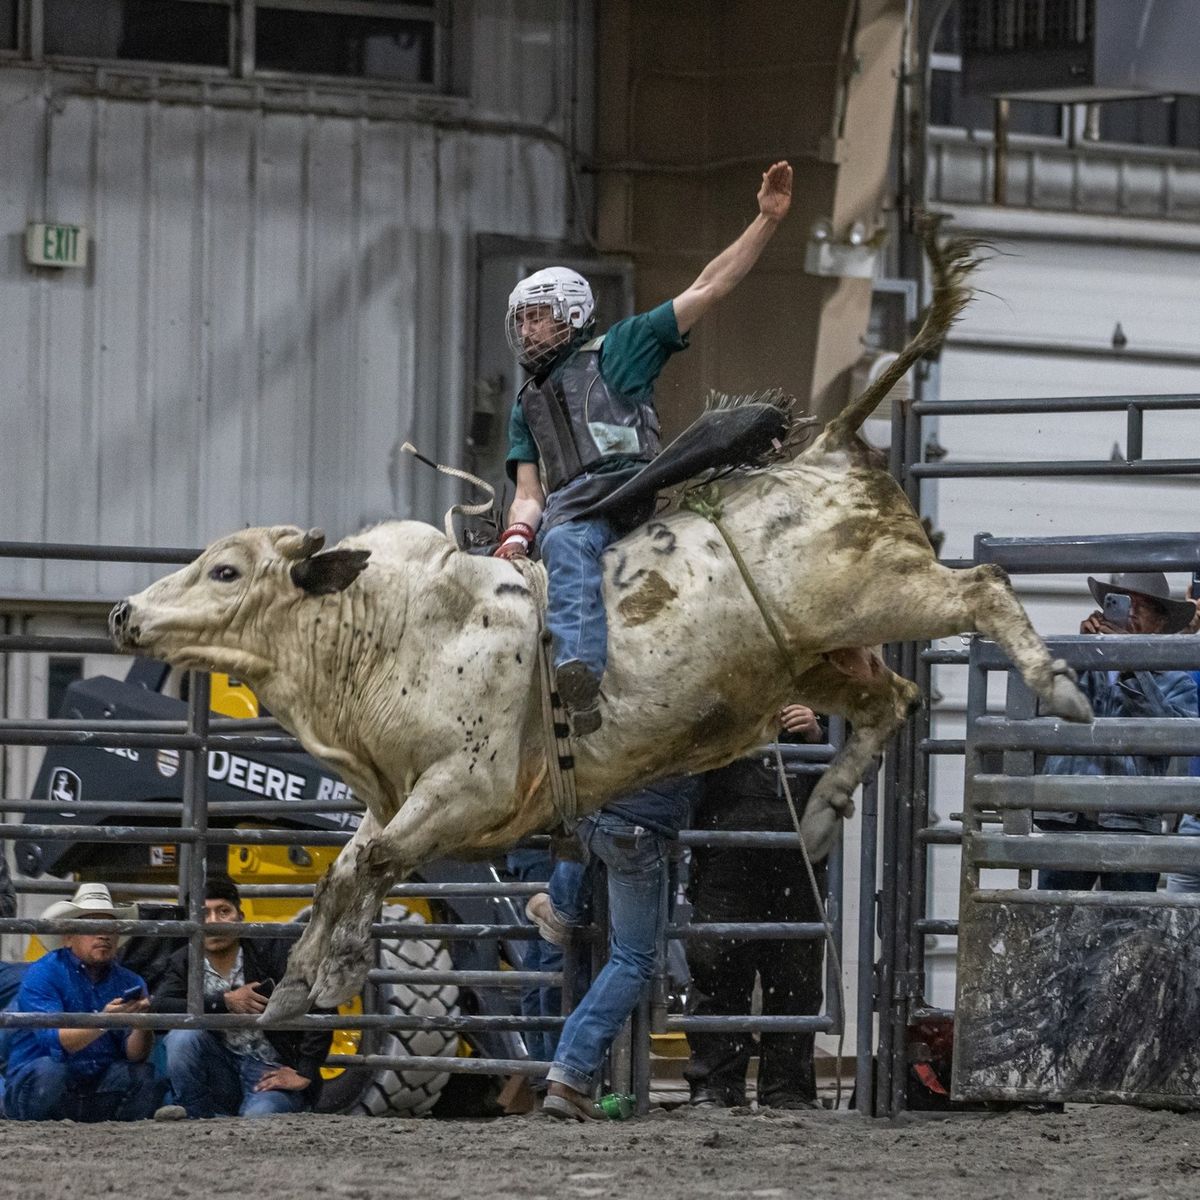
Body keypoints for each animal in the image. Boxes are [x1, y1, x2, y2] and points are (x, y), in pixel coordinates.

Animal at [108, 220, 1094, 1017]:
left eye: (226, 569)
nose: (122, 611)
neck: (390, 630)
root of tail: (831, 443)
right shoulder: (401, 800)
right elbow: (356, 868)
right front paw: (313, 979)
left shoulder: (464, 789)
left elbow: (361, 866)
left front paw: (316, 977)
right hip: (815, 657)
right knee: (890, 699)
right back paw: (818, 815)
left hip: (884, 589)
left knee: (983, 587)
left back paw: (1061, 691)